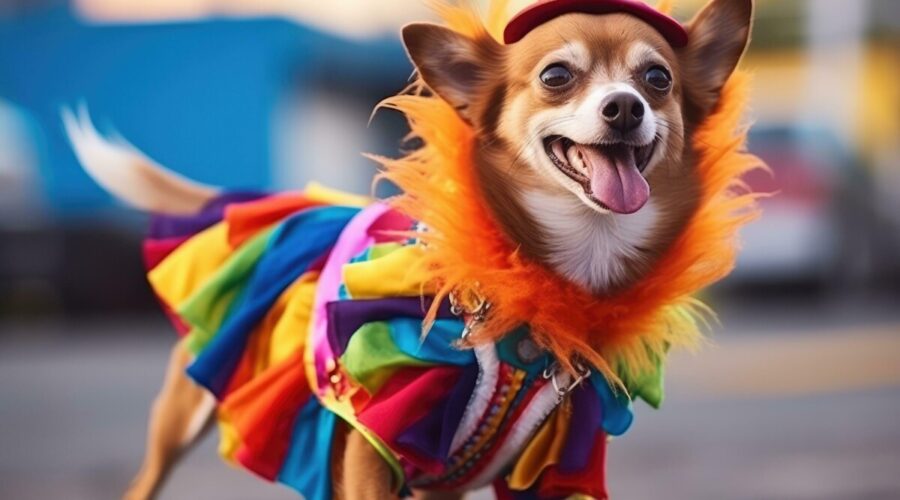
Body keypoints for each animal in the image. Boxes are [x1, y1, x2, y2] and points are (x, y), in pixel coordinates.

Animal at [65, 0, 754, 498]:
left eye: (657, 79)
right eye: (556, 76)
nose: (625, 107)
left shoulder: (549, 472)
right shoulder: (373, 447)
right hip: (181, 419)